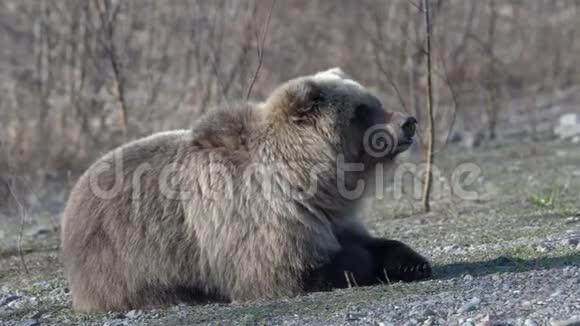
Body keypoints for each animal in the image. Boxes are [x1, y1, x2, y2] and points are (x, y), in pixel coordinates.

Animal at [61, 67, 430, 312]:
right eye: (362, 109)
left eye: (374, 100)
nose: (408, 122)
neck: (310, 180)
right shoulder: (257, 219)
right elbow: (296, 269)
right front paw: (361, 263)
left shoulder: (329, 216)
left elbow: (369, 240)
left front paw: (411, 262)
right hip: (124, 259)